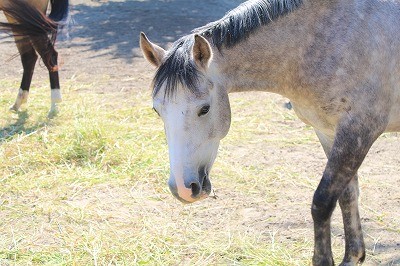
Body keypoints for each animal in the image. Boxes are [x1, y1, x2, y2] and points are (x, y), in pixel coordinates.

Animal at [140, 0, 400, 264]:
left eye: (204, 109)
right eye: (157, 110)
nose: (183, 189)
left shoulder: (358, 132)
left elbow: (323, 202)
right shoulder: (327, 131)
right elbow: (347, 194)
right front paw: (353, 256)